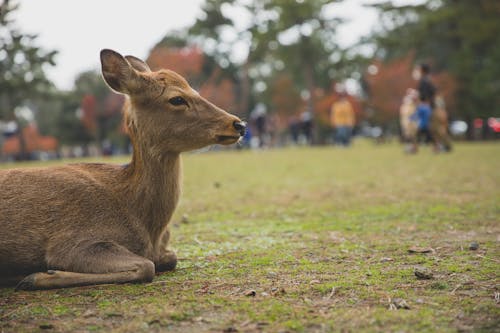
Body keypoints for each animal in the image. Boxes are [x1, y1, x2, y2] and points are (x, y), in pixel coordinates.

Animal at [0, 48, 246, 288]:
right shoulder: (71, 242)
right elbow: (146, 266)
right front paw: (37, 276)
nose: (239, 124)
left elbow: (170, 258)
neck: (149, 228)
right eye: (177, 99)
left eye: (195, 90)